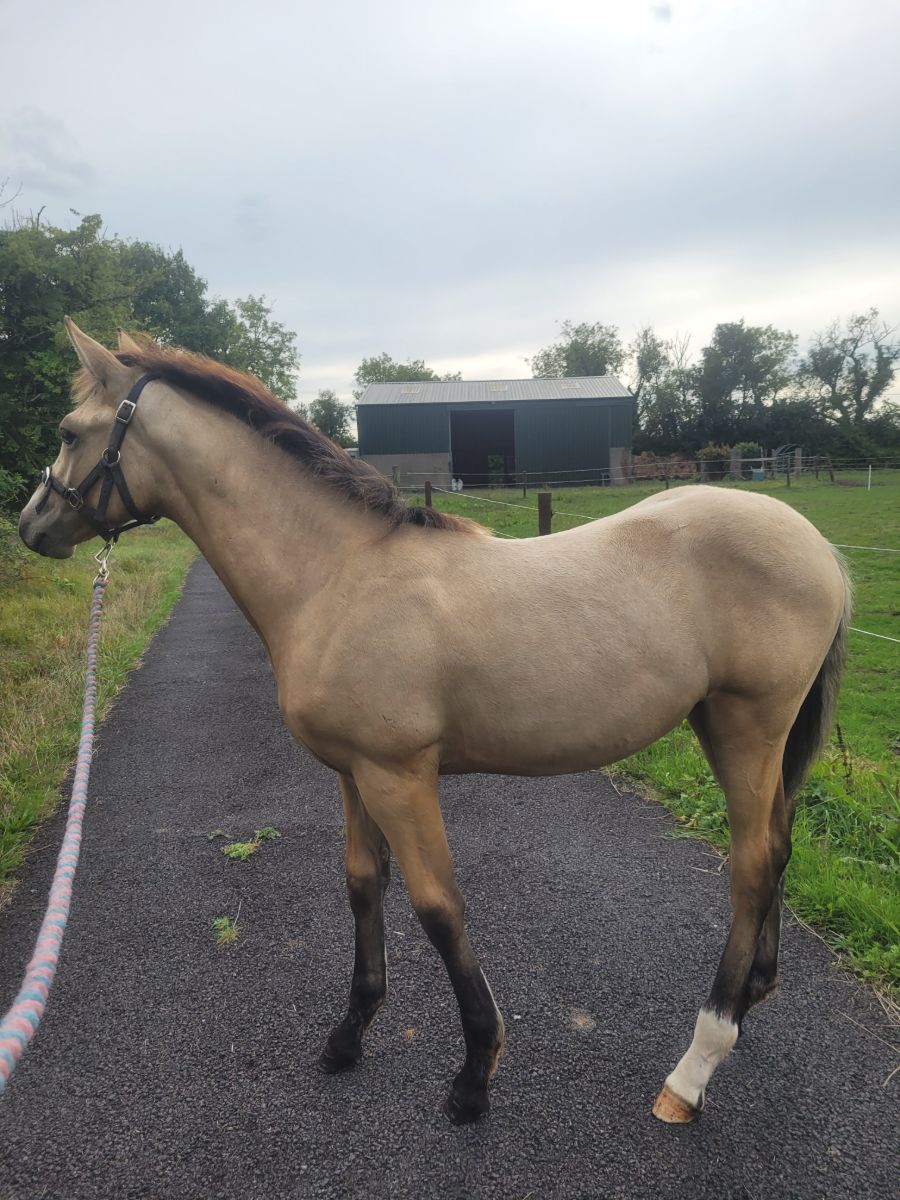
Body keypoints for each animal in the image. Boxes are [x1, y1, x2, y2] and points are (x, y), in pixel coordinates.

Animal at [18, 319, 851, 1126]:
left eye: (68, 431)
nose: (32, 525)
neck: (336, 577)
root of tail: (819, 547)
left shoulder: (399, 774)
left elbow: (437, 906)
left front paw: (475, 1073)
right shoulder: (353, 772)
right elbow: (363, 884)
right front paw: (349, 1034)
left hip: (749, 725)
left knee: (752, 863)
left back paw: (695, 1064)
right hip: (724, 727)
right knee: (777, 846)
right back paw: (752, 995)